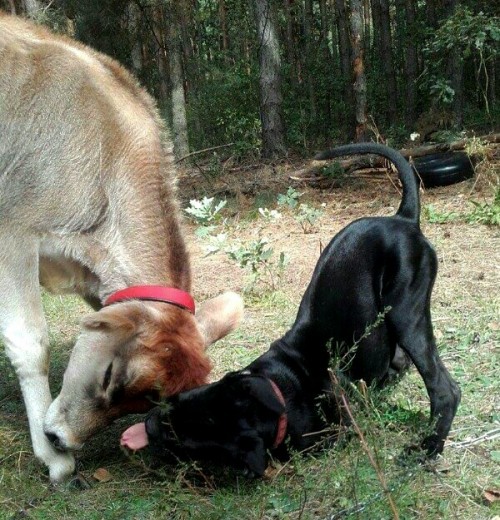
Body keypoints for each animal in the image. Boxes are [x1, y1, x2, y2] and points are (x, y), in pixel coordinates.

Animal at [0, 13, 242, 484]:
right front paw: (53, 460)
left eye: (148, 401)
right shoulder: (13, 231)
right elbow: (30, 343)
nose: (60, 438)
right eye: (111, 373)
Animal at [121, 141, 460, 476]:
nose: (148, 423)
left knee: (445, 389)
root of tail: (404, 218)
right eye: (183, 400)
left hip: (407, 313)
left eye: (180, 441)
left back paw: (429, 446)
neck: (281, 393)